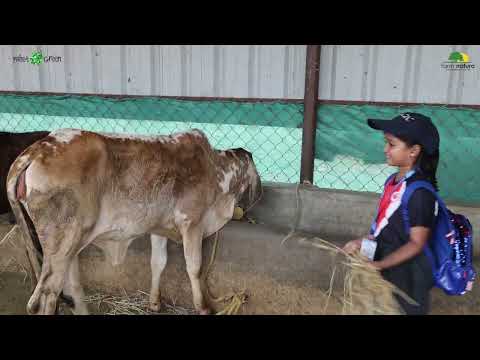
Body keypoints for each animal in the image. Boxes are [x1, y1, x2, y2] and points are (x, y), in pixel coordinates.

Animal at [6, 128, 262, 314]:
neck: (216, 171)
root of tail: (38, 148)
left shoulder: (159, 227)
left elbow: (158, 262)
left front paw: (154, 303)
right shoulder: (192, 223)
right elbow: (195, 267)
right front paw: (203, 307)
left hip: (67, 245)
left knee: (68, 284)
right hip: (62, 242)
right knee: (46, 295)